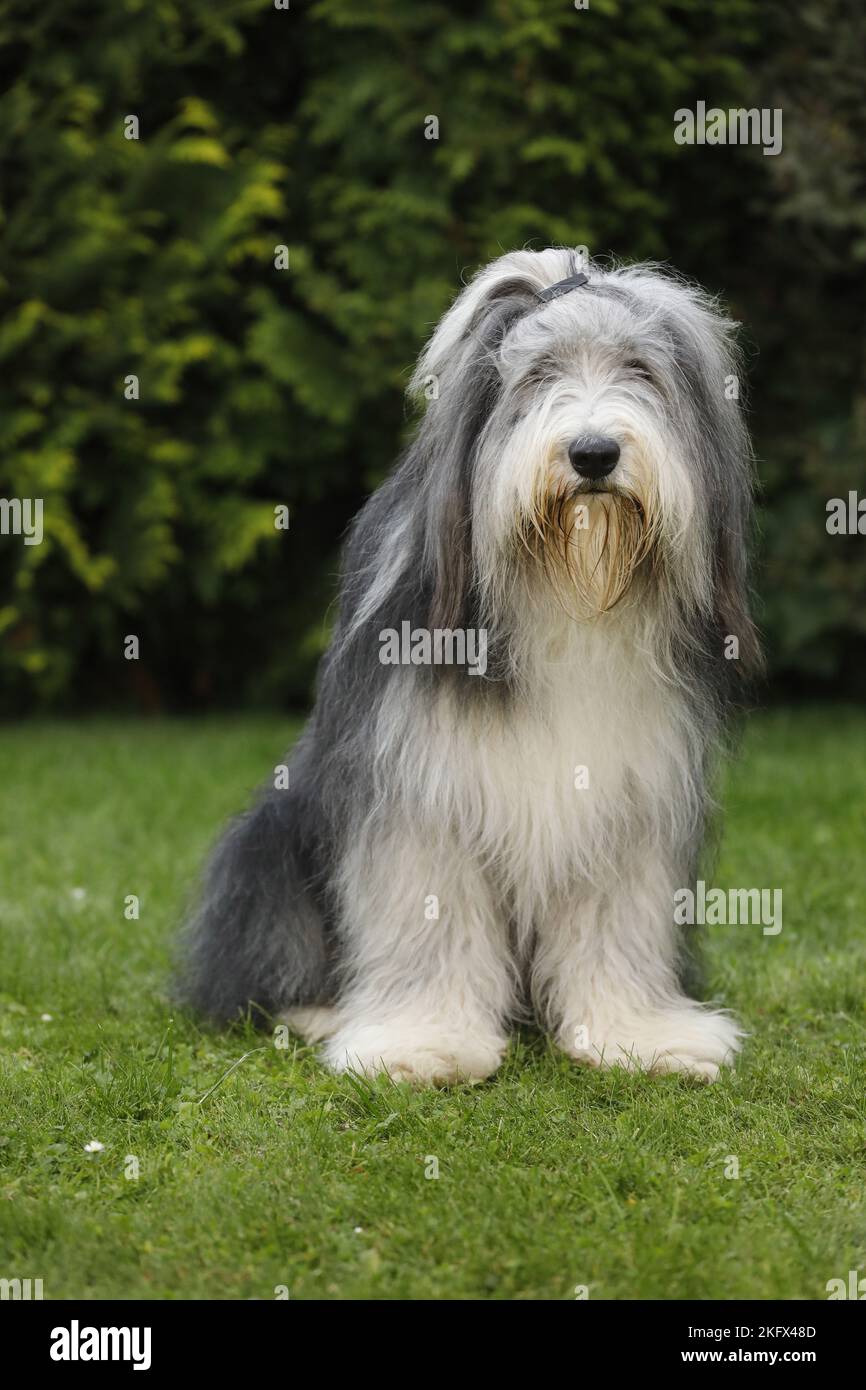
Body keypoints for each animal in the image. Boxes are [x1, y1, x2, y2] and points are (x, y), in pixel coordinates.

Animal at [180, 250, 756, 1084]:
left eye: (640, 370)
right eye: (537, 374)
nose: (593, 453)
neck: (563, 595)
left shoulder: (631, 797)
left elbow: (617, 918)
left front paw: (634, 1034)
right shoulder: (418, 787)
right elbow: (427, 912)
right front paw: (424, 1042)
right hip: (269, 845)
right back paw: (319, 1013)